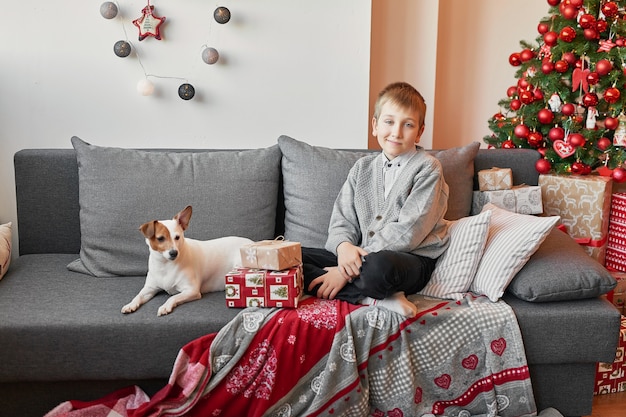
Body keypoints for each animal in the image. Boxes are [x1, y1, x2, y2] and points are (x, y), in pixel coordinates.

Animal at [120, 205, 250, 316]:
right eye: (160, 238)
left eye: (177, 237)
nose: (174, 253)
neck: (165, 265)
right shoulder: (149, 289)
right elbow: (138, 296)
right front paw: (130, 304)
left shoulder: (191, 291)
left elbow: (172, 297)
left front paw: (165, 306)